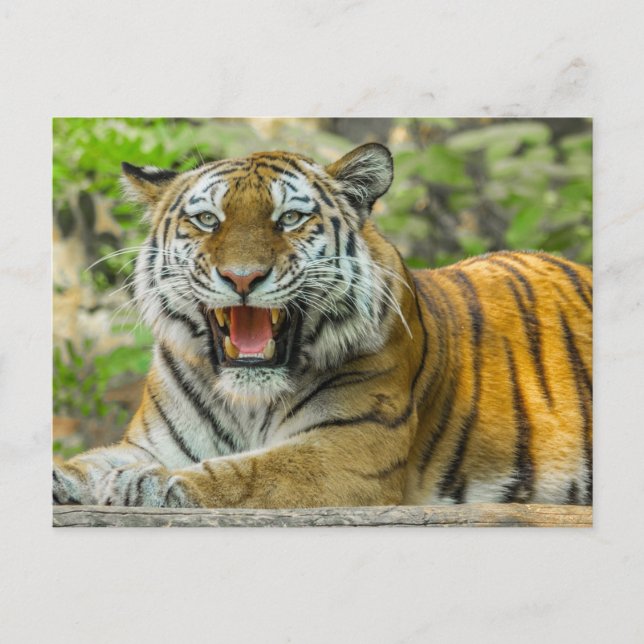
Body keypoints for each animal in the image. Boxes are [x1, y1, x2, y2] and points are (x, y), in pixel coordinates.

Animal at [52, 142, 592, 509]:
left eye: (289, 218)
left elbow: (255, 471)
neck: (247, 403)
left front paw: (154, 483)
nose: (242, 277)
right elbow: (92, 460)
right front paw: (66, 477)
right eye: (207, 220)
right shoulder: (147, 444)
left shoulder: (349, 448)